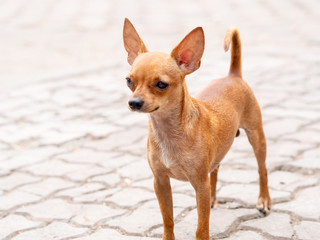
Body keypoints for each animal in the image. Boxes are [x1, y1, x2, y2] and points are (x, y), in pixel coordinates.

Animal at [122, 17, 270, 239]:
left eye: (161, 84)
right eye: (129, 81)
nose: (134, 102)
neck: (168, 132)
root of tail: (233, 75)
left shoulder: (200, 185)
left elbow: (201, 228)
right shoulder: (161, 182)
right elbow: (168, 220)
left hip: (256, 137)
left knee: (262, 169)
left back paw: (264, 200)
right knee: (215, 169)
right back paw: (213, 199)